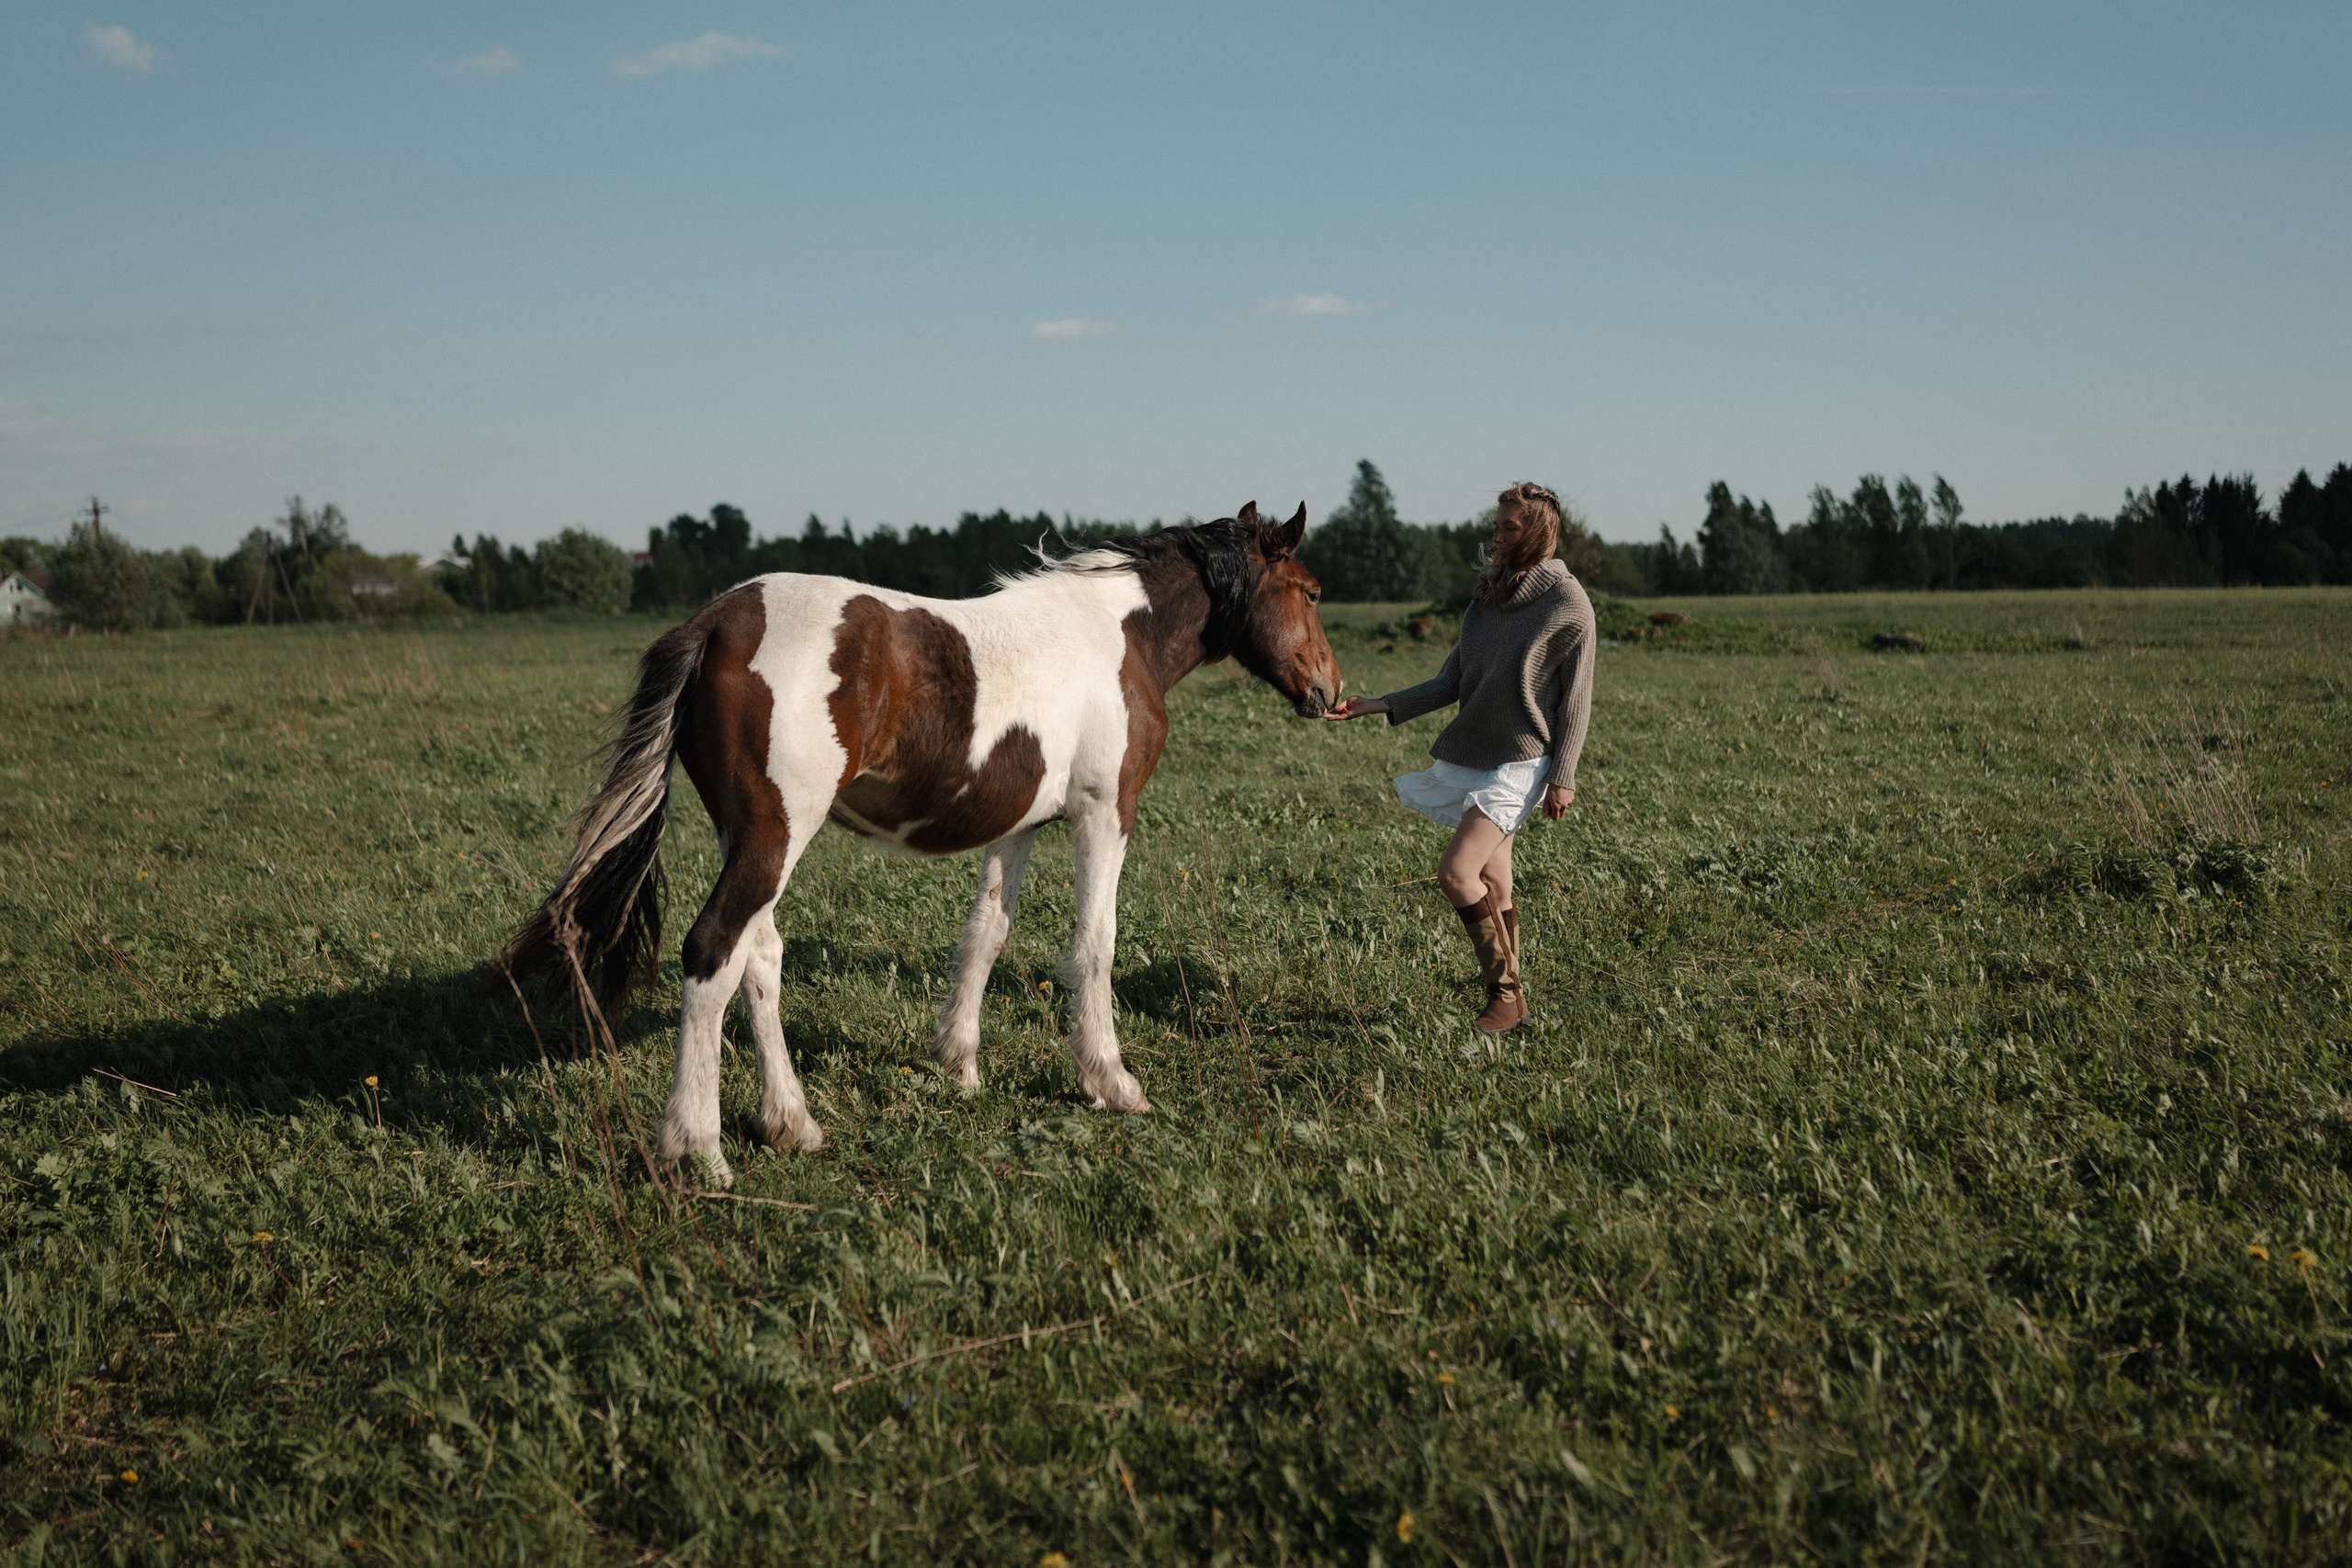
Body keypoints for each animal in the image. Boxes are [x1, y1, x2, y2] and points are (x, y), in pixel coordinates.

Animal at [505, 502, 1342, 1184]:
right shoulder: (1107, 813)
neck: (1117, 633)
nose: (1330, 691)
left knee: (758, 956)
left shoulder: (1018, 827)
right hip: (775, 834)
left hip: (748, 837)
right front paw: (1111, 1081)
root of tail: (712, 624)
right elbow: (1094, 943)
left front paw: (959, 1064)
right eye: (1309, 590)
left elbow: (987, 933)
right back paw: (698, 1148)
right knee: (713, 951)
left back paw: (791, 1124)